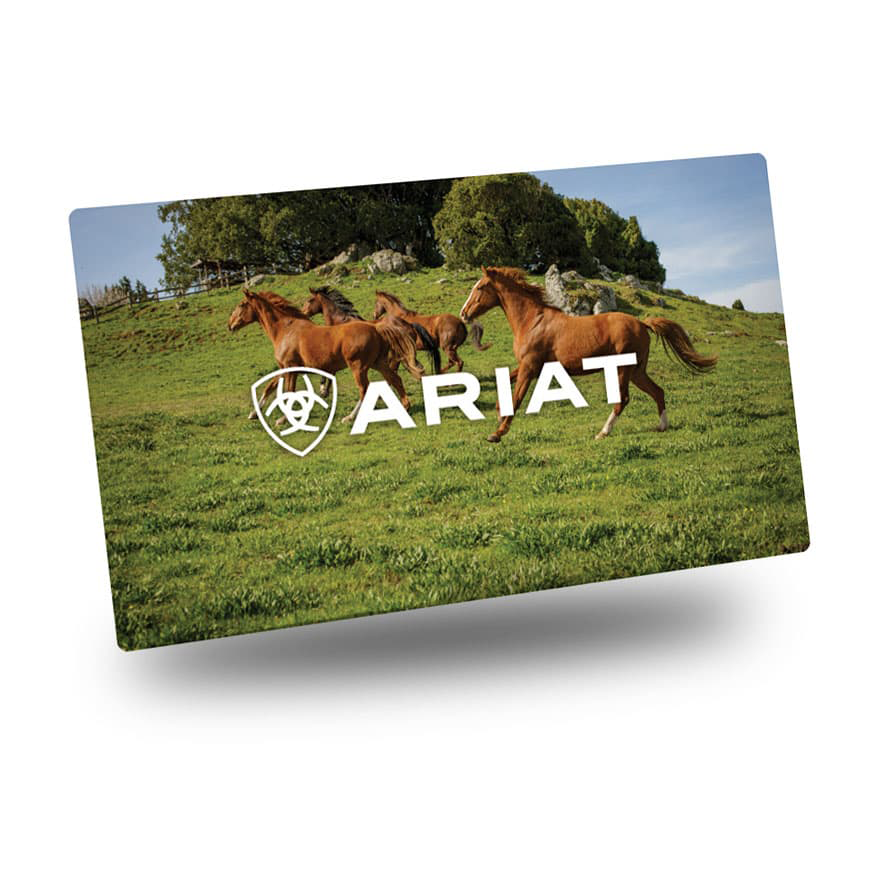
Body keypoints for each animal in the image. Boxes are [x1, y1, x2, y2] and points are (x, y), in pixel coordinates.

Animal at [228, 289, 424, 424]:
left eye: (241, 305)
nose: (230, 325)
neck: (285, 329)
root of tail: (376, 327)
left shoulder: (290, 368)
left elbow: (288, 392)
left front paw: (282, 419)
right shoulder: (285, 368)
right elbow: (270, 386)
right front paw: (254, 413)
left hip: (358, 367)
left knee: (365, 389)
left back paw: (350, 417)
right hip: (379, 363)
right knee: (395, 379)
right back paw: (405, 407)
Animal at [460, 266, 717, 443]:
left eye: (480, 287)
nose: (464, 313)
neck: (532, 321)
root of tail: (642, 323)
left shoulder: (529, 367)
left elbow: (516, 399)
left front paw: (497, 433)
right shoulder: (528, 366)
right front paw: (498, 416)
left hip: (623, 370)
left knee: (623, 400)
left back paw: (602, 432)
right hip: (637, 372)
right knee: (658, 392)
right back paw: (662, 426)